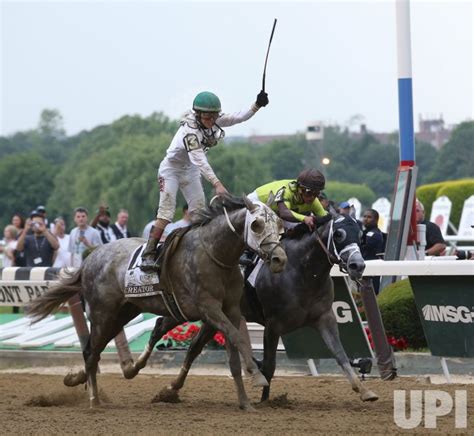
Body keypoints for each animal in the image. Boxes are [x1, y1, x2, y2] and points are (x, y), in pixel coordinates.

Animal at [27, 196, 286, 410]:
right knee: (92, 352)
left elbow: (232, 353)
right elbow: (238, 338)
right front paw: (258, 376)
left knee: (94, 349)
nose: (279, 259)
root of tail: (89, 258)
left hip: (124, 312)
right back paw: (94, 400)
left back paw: (90, 379)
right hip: (102, 314)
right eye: (256, 224)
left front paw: (245, 402)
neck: (216, 255)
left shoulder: (230, 310)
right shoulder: (209, 309)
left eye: (279, 225)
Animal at [243, 212, 380, 402]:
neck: (303, 271)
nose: (357, 266)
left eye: (361, 236)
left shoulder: (324, 318)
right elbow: (270, 366)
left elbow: (340, 354)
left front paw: (364, 390)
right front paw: (264, 401)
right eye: (338, 234)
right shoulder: (272, 325)